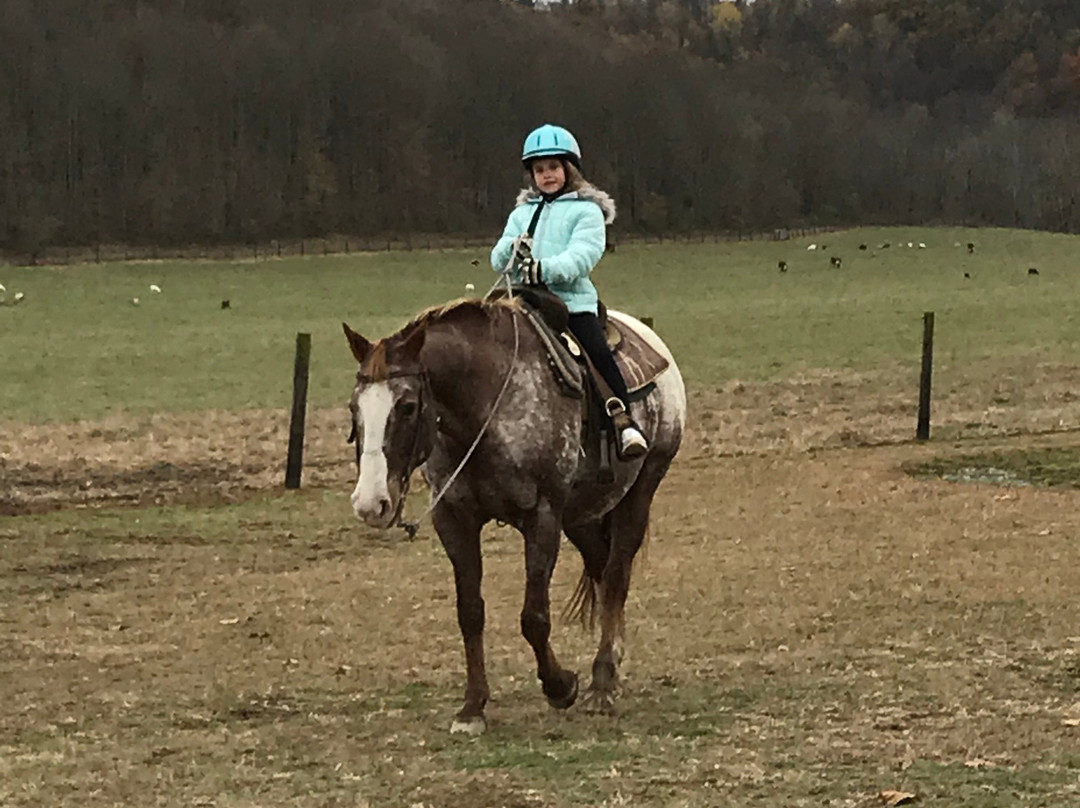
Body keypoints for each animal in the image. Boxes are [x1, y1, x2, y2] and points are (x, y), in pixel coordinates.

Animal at [343, 296, 685, 734]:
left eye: (406, 406)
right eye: (354, 407)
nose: (370, 502)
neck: (486, 408)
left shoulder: (542, 516)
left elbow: (534, 617)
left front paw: (561, 686)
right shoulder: (454, 519)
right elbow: (470, 612)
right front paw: (472, 707)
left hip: (640, 491)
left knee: (615, 576)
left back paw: (602, 683)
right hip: (581, 514)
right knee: (600, 566)